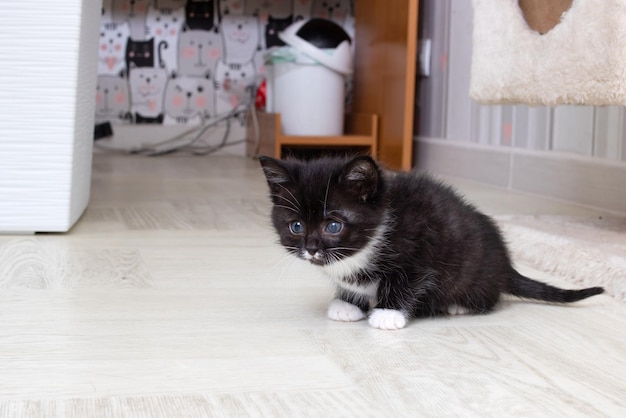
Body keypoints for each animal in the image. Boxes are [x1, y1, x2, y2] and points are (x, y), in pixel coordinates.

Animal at [256, 156, 604, 330]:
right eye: (296, 226)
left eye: (333, 226)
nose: (312, 248)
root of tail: (506, 265)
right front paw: (348, 303)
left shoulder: (421, 250)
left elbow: (407, 282)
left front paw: (387, 313)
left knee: (490, 298)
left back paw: (457, 305)